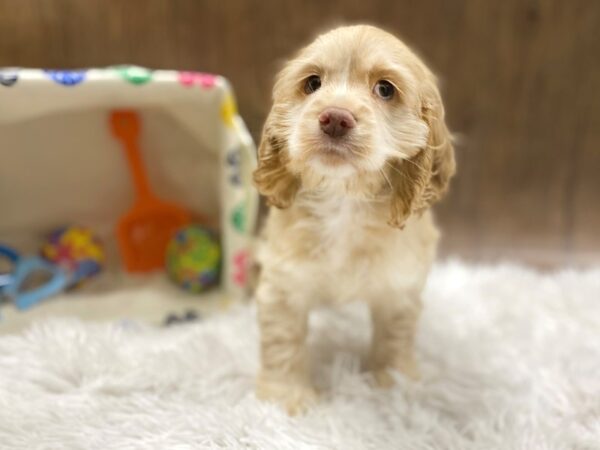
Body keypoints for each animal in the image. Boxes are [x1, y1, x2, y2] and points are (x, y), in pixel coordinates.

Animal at [253, 23, 454, 412]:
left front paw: (395, 383)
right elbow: (283, 342)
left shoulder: (399, 286)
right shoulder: (283, 284)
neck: (345, 199)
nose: (334, 117)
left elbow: (395, 337)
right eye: (312, 83)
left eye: (385, 89)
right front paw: (287, 398)